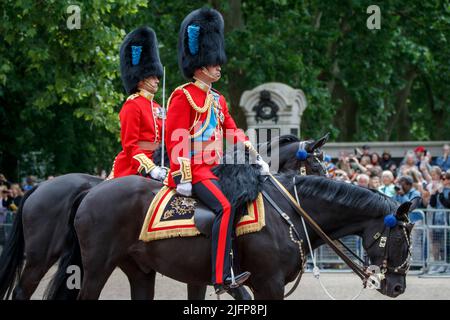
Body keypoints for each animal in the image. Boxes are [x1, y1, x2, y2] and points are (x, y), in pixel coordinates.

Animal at [47, 170, 414, 300]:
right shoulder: (268, 283)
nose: (398, 287)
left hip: (140, 270)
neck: (291, 212)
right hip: (96, 268)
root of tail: (94, 189)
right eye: (399, 239)